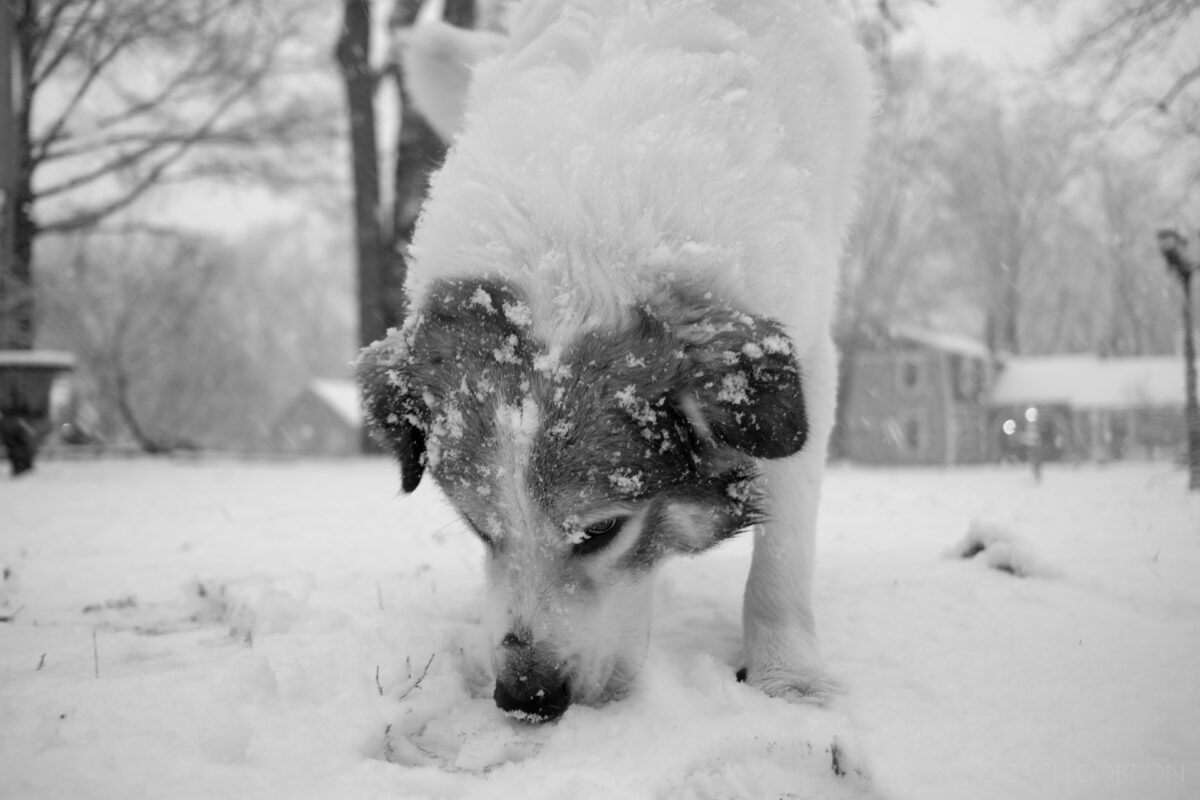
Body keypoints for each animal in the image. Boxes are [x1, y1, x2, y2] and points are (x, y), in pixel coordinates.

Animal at [355, 0, 873, 724]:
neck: (580, 242)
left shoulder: (809, 361)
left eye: (601, 532)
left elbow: (783, 547)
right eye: (480, 529)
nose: (527, 698)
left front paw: (788, 680)